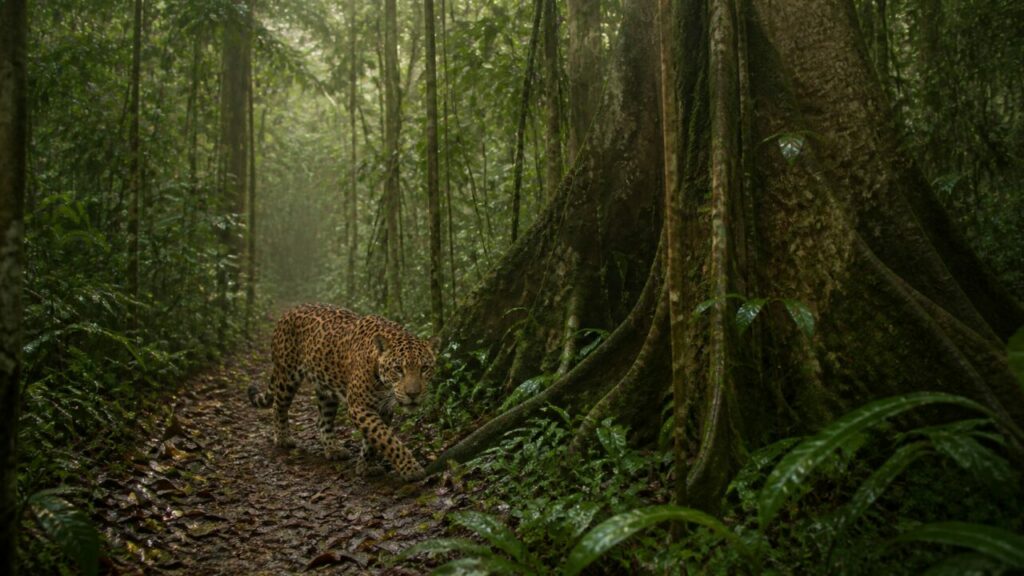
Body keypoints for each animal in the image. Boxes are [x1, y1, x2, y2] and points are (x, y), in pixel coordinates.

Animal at [248, 304, 436, 480]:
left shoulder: (383, 409)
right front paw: (411, 469)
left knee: (322, 421)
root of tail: (289, 311)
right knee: (278, 406)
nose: (413, 394)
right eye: (398, 369)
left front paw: (366, 467)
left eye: (425, 368)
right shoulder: (359, 406)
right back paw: (282, 439)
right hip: (286, 375)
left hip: (326, 388)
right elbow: (386, 438)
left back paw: (333, 449)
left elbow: (374, 440)